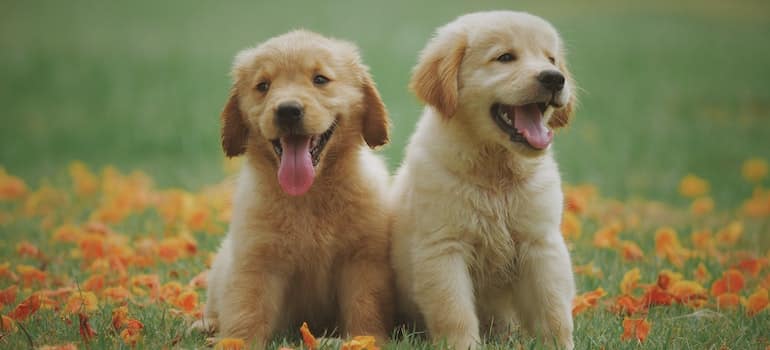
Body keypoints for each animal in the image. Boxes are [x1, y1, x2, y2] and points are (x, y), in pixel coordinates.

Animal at [195, 30, 392, 348]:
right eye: (263, 86)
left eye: (320, 79)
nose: (288, 111)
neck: (308, 196)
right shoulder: (256, 260)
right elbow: (247, 309)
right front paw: (237, 342)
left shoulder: (362, 259)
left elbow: (365, 305)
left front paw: (366, 339)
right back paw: (205, 325)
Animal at [390, 10, 576, 350]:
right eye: (505, 58)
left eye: (551, 59)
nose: (555, 78)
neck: (496, 172)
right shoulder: (443, 248)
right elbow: (454, 311)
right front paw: (463, 344)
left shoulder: (540, 244)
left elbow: (553, 308)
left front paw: (560, 344)